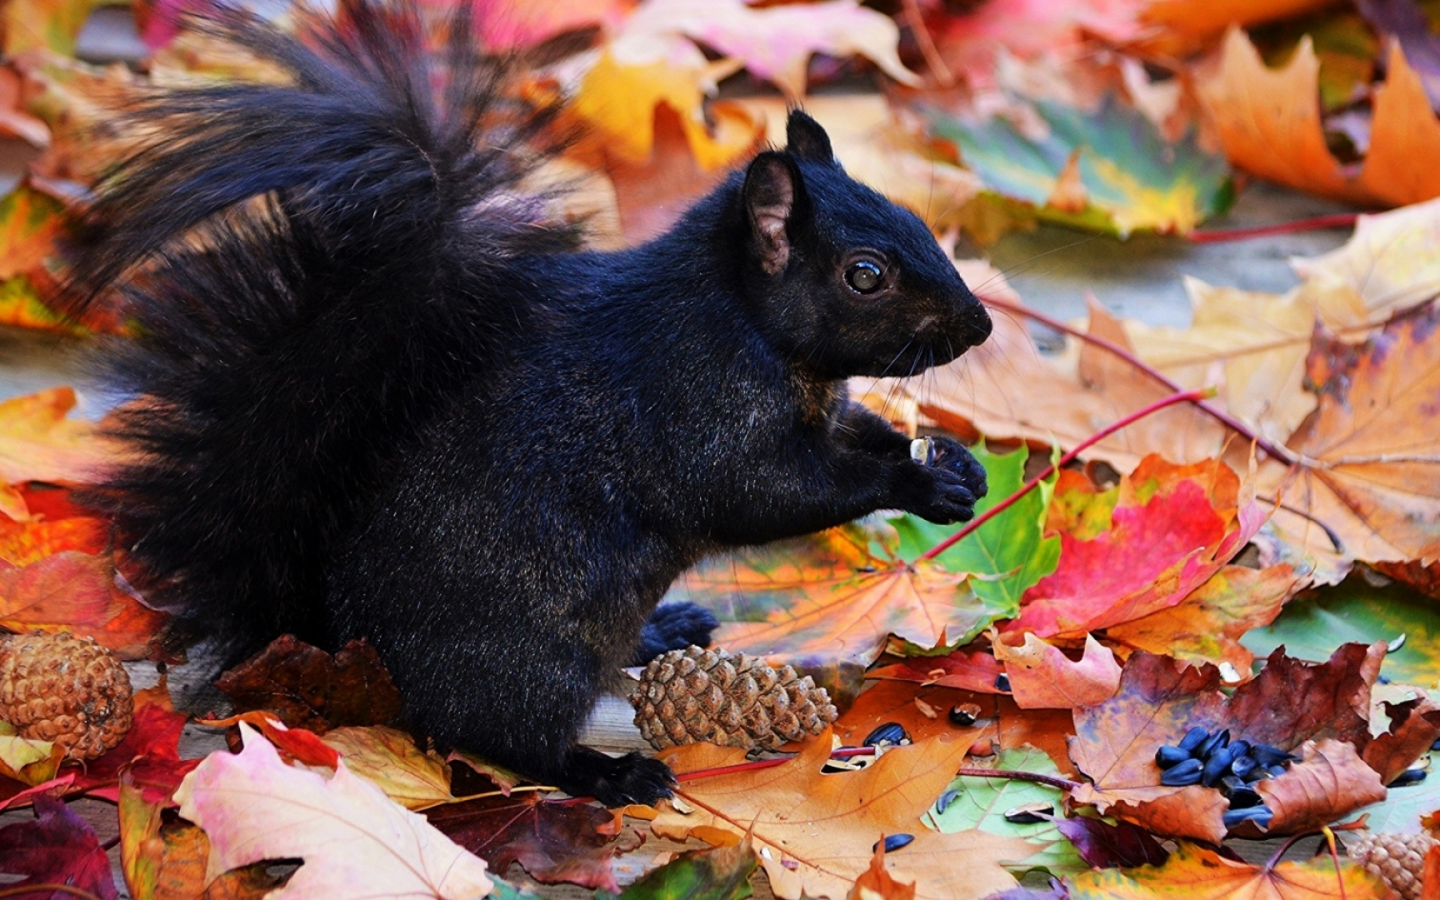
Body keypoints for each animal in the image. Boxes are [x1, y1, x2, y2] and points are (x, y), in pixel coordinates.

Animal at [67, 0, 990, 800]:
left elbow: (857, 432)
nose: (980, 325)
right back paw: (609, 774)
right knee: (504, 735)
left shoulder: (819, 409)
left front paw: (953, 466)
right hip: (530, 660)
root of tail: (347, 645)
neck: (750, 326)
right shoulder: (697, 407)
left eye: (913, 218)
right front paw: (913, 483)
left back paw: (663, 631)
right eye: (865, 275)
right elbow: (768, 493)